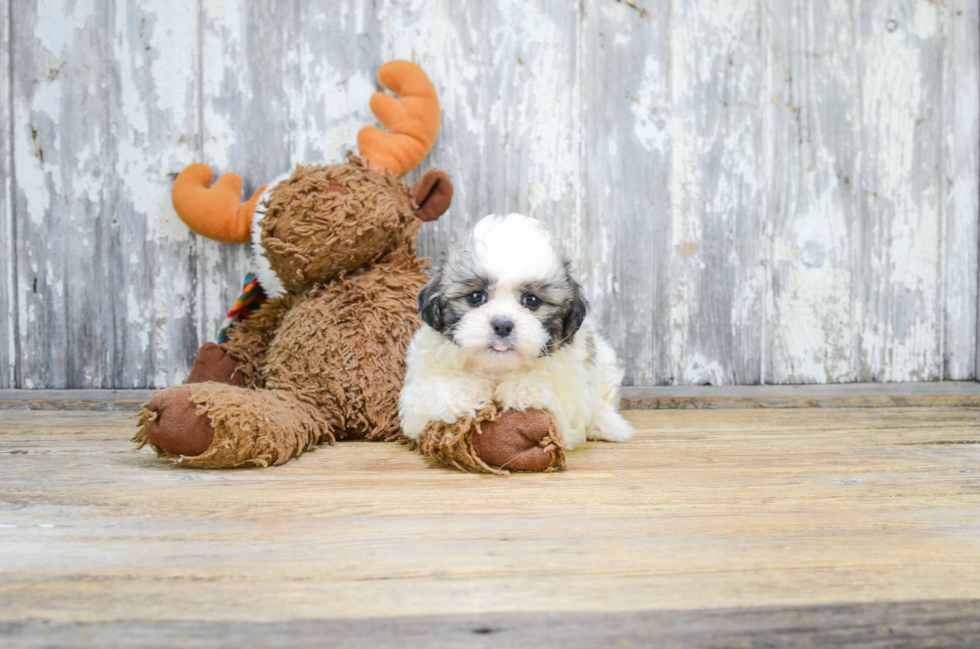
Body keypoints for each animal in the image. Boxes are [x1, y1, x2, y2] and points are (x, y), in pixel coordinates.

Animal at [400, 213, 636, 460]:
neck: (498, 367)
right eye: (476, 297)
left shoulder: (573, 388)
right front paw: (464, 390)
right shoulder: (418, 392)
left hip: (604, 360)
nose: (503, 325)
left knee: (602, 401)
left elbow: (555, 397)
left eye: (531, 300)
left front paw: (524, 388)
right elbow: (433, 393)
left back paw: (609, 425)